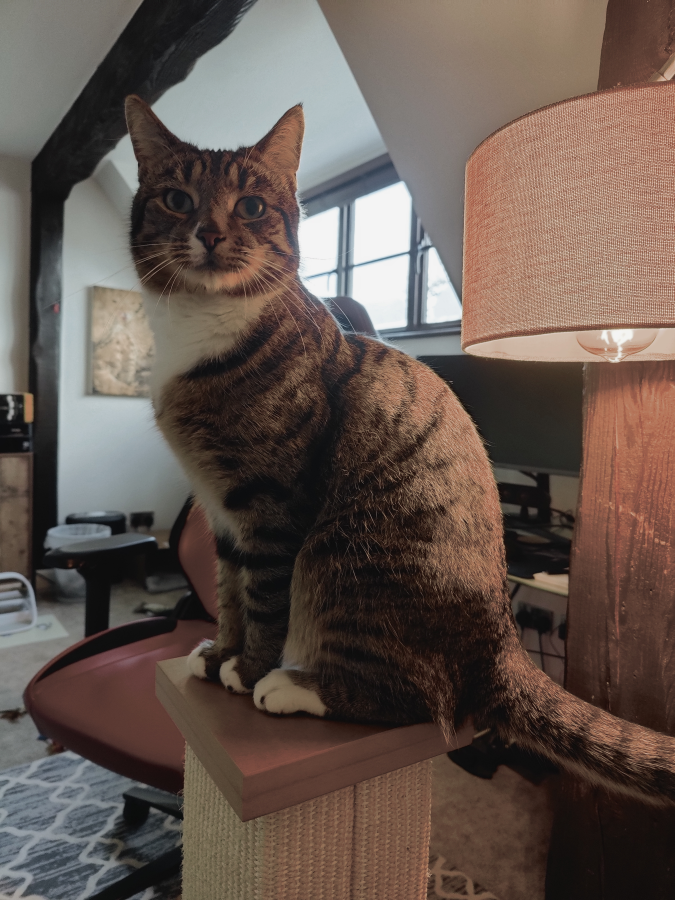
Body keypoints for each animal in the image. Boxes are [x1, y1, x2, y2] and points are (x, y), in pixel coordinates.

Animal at [125, 94, 675, 804]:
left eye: (249, 206)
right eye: (176, 199)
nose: (212, 234)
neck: (200, 330)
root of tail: (503, 645)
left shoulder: (271, 505)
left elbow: (263, 599)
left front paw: (245, 671)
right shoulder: (220, 509)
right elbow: (228, 593)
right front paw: (220, 652)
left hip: (343, 554)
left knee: (427, 704)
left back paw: (291, 687)